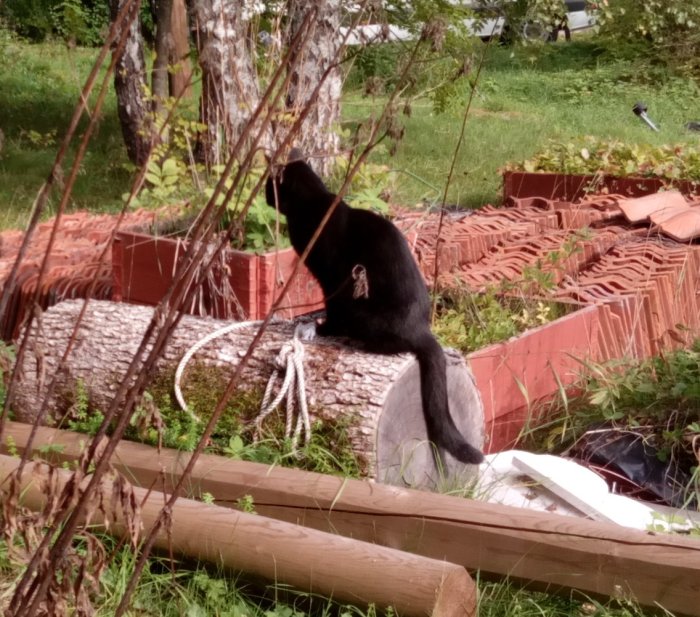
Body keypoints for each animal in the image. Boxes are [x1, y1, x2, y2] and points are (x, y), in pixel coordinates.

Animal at [266, 152, 484, 464]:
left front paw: (324, 327)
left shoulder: (335, 280)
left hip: (365, 311)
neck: (314, 206)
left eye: (271, 186)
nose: (265, 196)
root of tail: (422, 329)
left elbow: (333, 308)